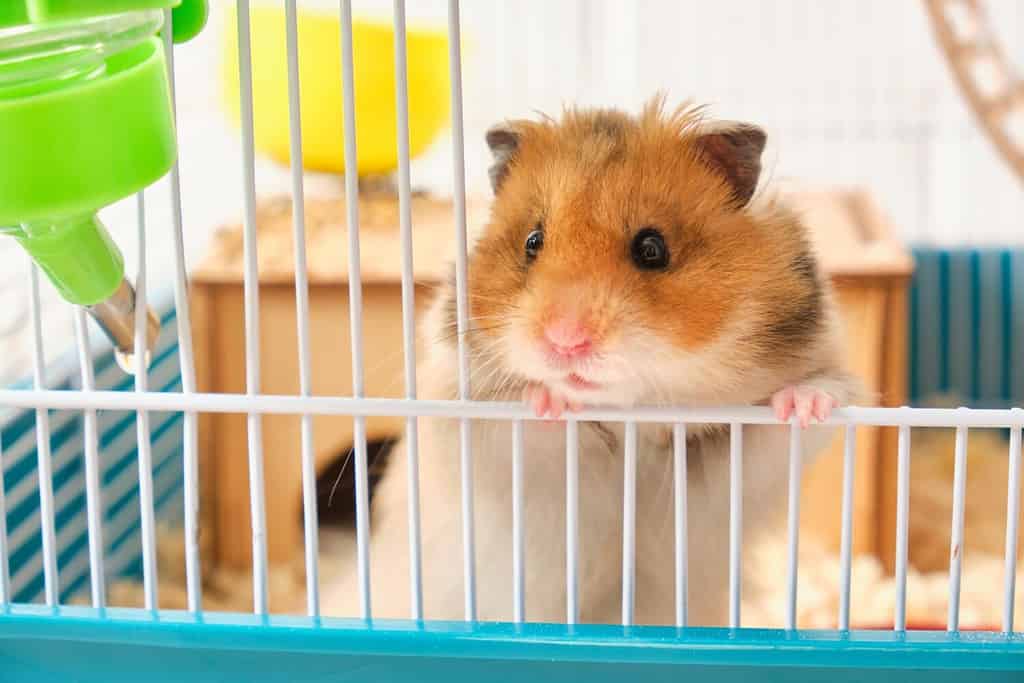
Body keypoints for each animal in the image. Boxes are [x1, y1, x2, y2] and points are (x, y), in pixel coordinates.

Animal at [321, 97, 864, 630]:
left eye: (652, 248)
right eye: (532, 241)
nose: (565, 340)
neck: (629, 424)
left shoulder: (731, 460)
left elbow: (795, 411)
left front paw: (803, 405)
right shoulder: (472, 421)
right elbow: (528, 427)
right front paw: (548, 399)